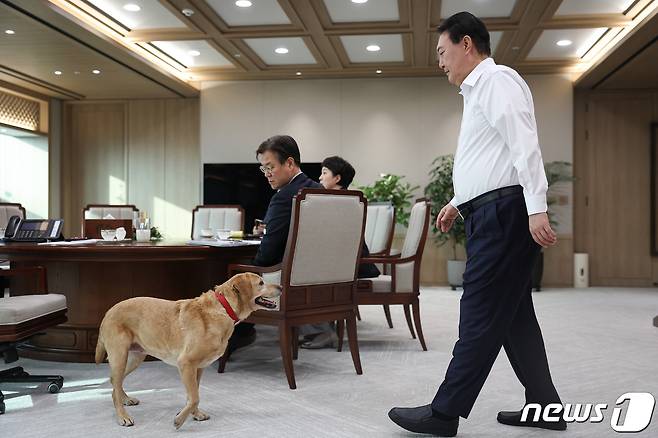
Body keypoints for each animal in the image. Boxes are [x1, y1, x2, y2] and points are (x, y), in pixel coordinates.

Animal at [94, 272, 280, 430]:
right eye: (261, 283)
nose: (281, 287)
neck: (223, 309)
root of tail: (109, 311)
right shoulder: (186, 363)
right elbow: (195, 397)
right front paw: (179, 420)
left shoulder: (197, 368)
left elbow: (193, 395)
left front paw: (193, 414)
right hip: (120, 357)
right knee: (115, 383)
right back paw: (122, 416)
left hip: (135, 357)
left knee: (114, 383)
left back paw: (126, 399)